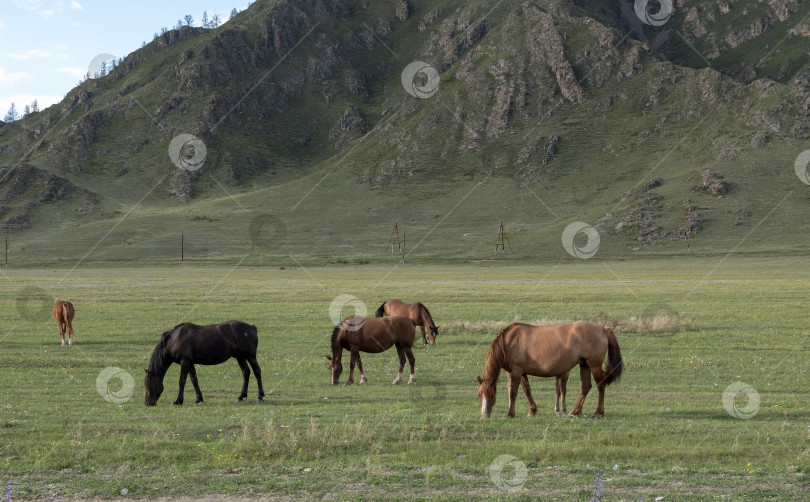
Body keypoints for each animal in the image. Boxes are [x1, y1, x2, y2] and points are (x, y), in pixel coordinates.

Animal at [474, 322, 620, 420]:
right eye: (479, 395)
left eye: (491, 396)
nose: (483, 416)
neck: (509, 342)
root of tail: (602, 328)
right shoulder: (520, 372)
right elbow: (526, 390)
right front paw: (532, 410)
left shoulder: (517, 371)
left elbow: (513, 393)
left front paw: (511, 414)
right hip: (584, 365)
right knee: (586, 387)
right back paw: (575, 411)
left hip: (594, 365)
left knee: (600, 385)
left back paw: (598, 412)